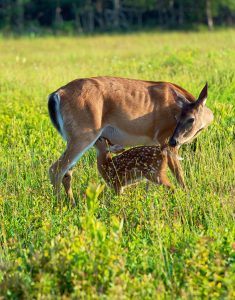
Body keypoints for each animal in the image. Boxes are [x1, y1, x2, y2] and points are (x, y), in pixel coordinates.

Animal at [47, 77, 213, 206]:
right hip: (83, 134)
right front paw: (188, 196)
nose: (174, 140)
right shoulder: (163, 138)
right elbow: (179, 175)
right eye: (177, 118)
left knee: (67, 173)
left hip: (75, 137)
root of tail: (56, 95)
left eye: (190, 119)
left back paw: (72, 204)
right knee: (56, 169)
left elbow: (149, 181)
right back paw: (59, 206)